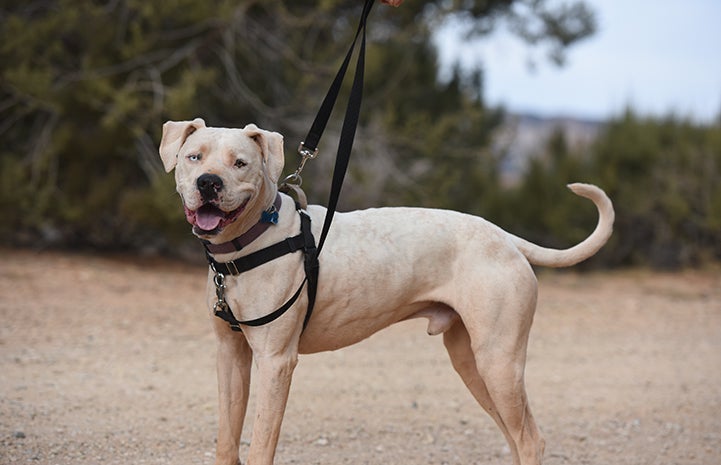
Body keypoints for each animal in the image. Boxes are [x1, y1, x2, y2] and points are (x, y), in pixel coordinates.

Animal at [158, 118, 612, 464]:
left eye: (240, 163)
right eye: (194, 156)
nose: (209, 182)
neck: (253, 239)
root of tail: (504, 237)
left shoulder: (275, 362)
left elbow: (260, 446)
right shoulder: (231, 356)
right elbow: (227, 439)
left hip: (500, 363)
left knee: (530, 439)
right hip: (472, 363)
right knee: (514, 436)